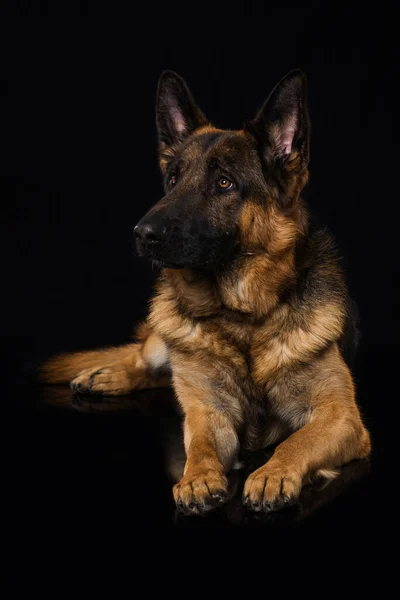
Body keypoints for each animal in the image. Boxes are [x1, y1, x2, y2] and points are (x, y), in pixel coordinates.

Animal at [42, 68, 370, 512]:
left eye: (224, 183)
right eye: (173, 180)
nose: (142, 234)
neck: (244, 316)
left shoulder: (341, 417)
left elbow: (297, 441)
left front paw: (272, 472)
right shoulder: (209, 412)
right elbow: (199, 444)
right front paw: (197, 477)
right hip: (165, 334)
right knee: (143, 359)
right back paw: (106, 374)